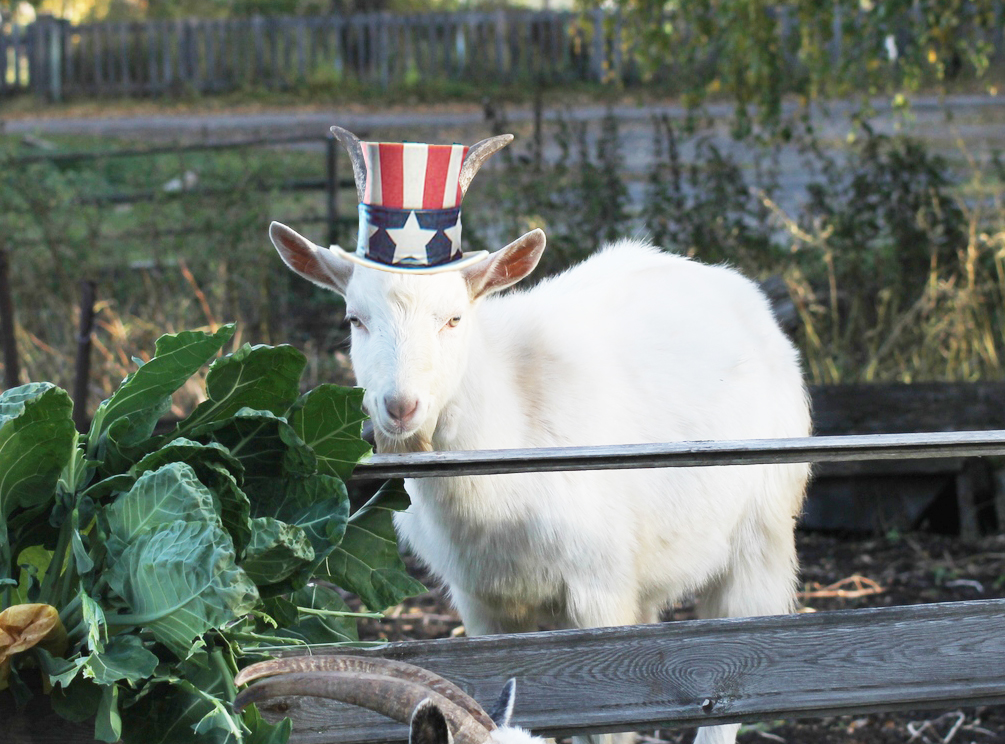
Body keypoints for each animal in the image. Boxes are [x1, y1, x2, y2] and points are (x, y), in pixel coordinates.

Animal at [271, 129, 812, 744]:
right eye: (354, 319)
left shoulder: (600, 589)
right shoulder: (482, 602)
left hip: (761, 536)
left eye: (454, 318)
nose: (400, 407)